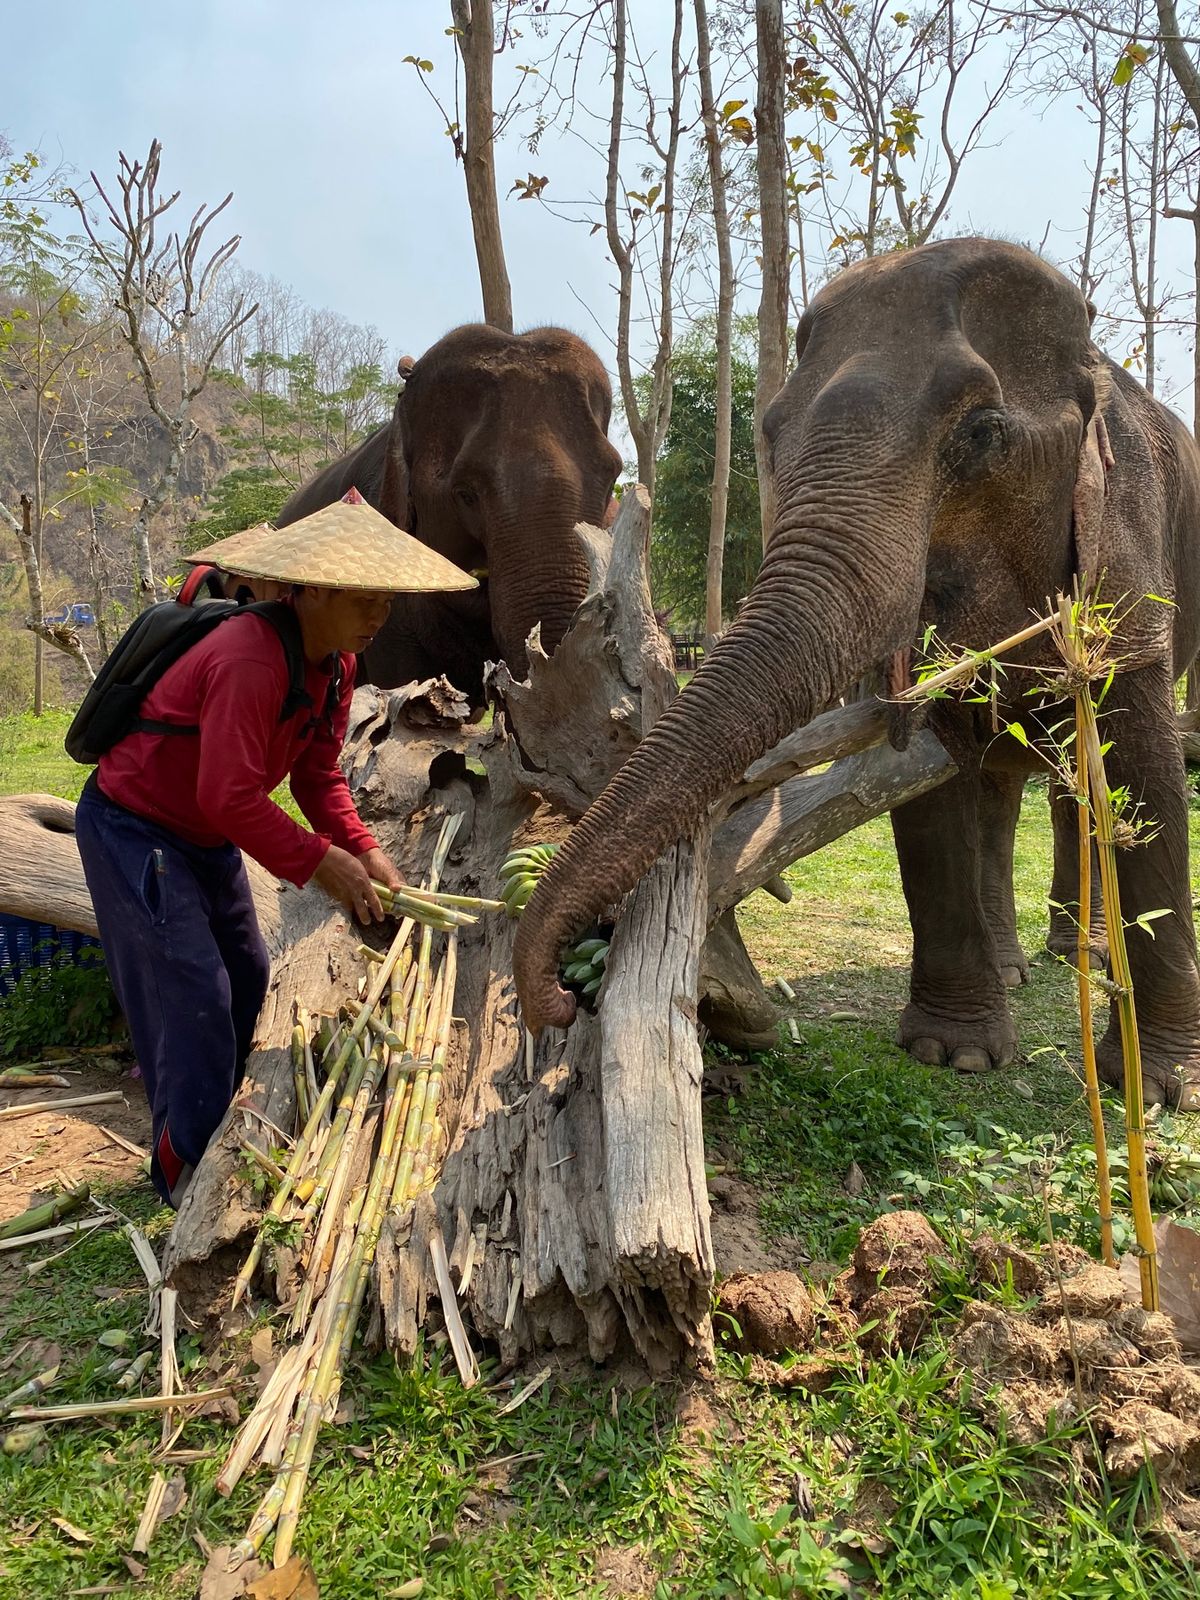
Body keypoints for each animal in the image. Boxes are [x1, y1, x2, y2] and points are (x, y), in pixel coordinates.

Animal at [513, 237, 1200, 1109]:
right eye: (771, 433)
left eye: (982, 433)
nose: (559, 1000)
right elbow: (934, 780)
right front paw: (955, 1055)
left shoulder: (1131, 541)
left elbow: (1144, 769)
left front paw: (1165, 1089)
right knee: (1000, 784)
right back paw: (1017, 967)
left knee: (1073, 781)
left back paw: (1085, 959)